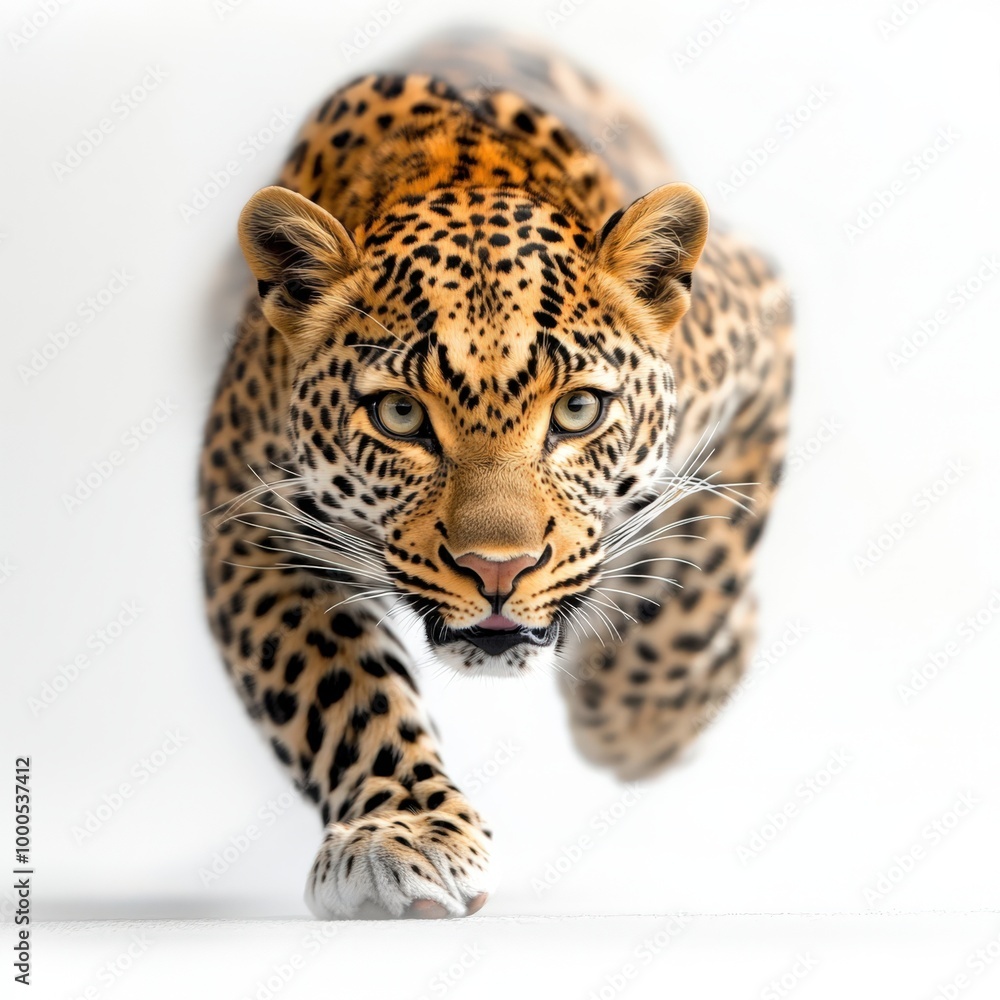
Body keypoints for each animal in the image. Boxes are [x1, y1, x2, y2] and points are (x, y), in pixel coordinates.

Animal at [198, 29, 793, 920]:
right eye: (399, 415)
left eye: (578, 411)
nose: (498, 571)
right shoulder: (252, 520)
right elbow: (332, 689)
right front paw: (402, 829)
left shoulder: (762, 332)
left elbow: (705, 561)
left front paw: (637, 725)